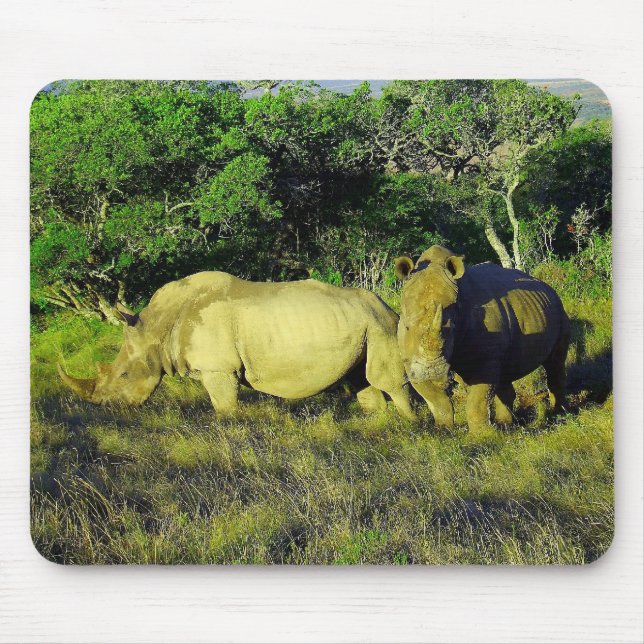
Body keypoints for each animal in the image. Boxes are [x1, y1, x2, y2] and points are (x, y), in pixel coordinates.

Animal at [58, 272, 416, 419]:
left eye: (123, 376)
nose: (107, 409)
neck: (157, 327)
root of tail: (388, 306)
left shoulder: (218, 367)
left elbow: (225, 408)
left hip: (381, 324)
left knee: (385, 380)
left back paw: (410, 426)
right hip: (363, 324)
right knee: (360, 380)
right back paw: (376, 425)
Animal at [394, 245, 570, 431]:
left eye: (451, 331)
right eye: (407, 327)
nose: (433, 374)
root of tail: (547, 286)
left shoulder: (486, 357)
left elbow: (478, 399)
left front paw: (482, 434)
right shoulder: (411, 359)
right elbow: (436, 399)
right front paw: (443, 430)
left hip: (559, 309)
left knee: (555, 363)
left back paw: (559, 414)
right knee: (506, 370)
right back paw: (506, 423)